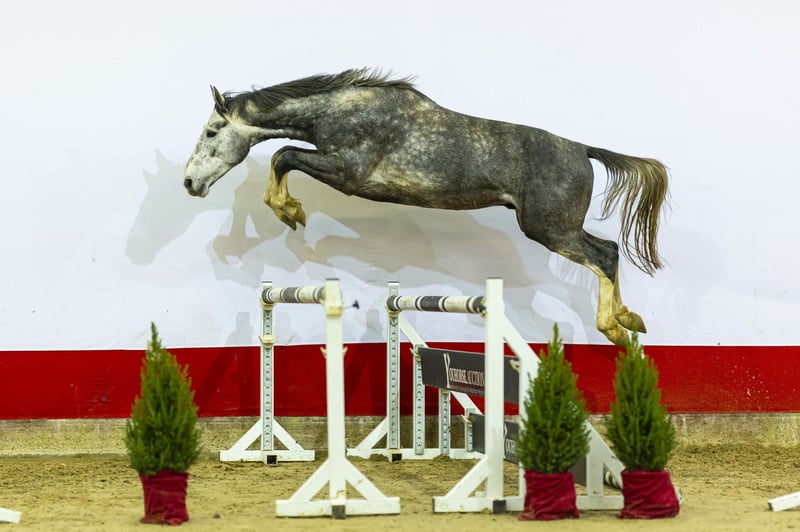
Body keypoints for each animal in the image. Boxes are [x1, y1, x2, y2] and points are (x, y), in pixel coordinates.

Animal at [184, 68, 669, 346]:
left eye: (211, 131)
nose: (190, 183)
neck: (341, 110)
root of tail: (583, 150)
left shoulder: (348, 172)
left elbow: (284, 154)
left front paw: (290, 211)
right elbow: (283, 155)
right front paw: (288, 209)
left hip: (549, 228)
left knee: (602, 256)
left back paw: (614, 328)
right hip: (555, 227)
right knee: (610, 251)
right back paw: (630, 319)